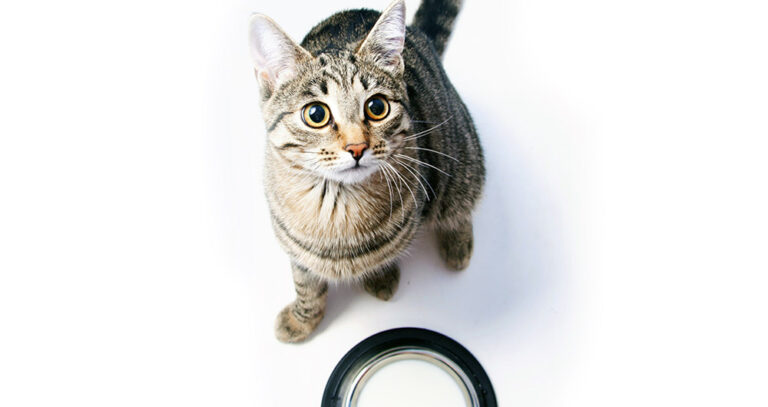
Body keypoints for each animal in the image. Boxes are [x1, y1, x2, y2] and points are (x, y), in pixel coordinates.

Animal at [249, 0, 485, 343]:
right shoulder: (296, 250)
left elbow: (384, 255)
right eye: (316, 114)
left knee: (458, 203)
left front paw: (380, 277)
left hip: (461, 158)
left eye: (377, 107)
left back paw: (457, 245)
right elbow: (306, 286)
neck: (335, 204)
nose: (357, 147)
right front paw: (302, 320)